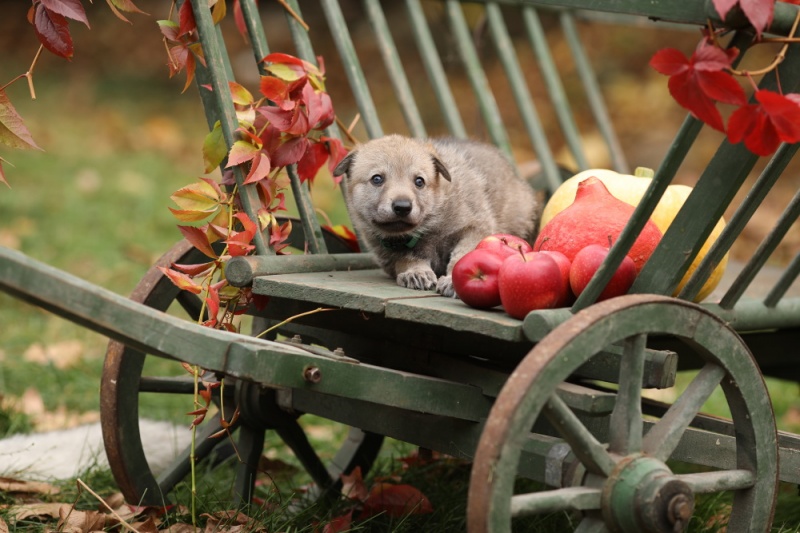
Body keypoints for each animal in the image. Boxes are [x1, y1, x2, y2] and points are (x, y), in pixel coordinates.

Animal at [334, 135, 540, 298]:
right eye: (377, 179)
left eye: (419, 181)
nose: (402, 207)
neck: (429, 225)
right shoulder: (391, 256)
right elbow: (407, 259)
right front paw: (416, 273)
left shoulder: (475, 229)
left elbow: (462, 256)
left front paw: (451, 280)